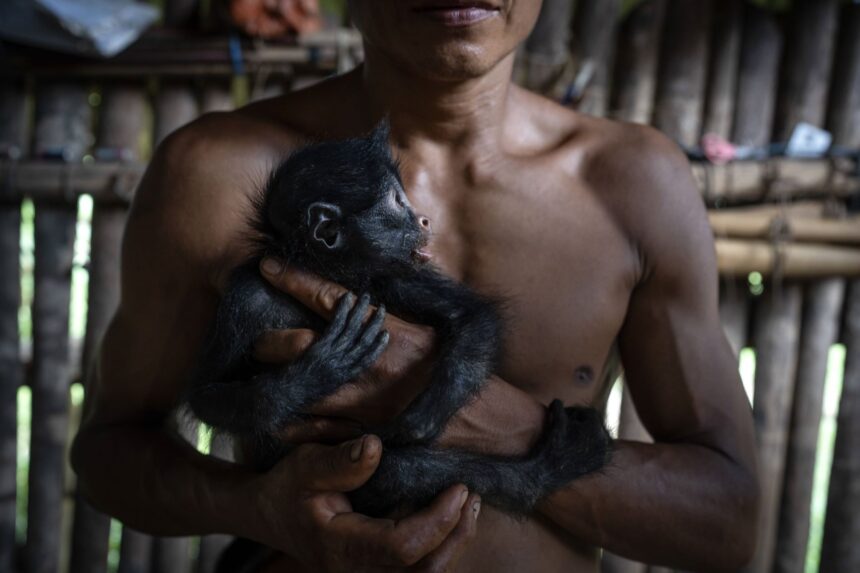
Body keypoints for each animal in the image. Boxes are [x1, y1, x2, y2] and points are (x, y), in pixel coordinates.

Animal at [185, 122, 611, 517]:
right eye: (396, 201)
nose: (423, 220)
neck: (330, 273)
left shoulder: (388, 276)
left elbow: (473, 316)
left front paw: (427, 414)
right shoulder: (248, 296)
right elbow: (207, 394)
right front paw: (319, 371)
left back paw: (552, 465)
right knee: (395, 471)